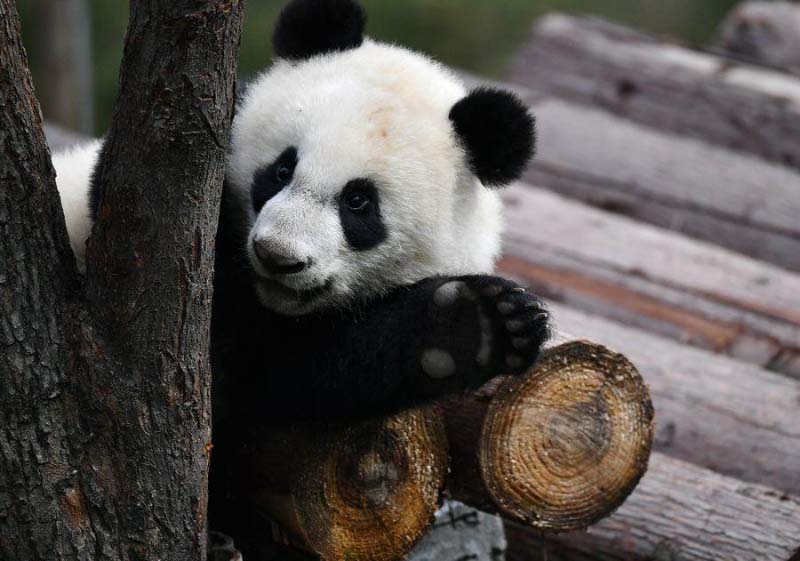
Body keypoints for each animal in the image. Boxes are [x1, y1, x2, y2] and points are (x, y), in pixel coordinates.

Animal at [53, 0, 548, 420]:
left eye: (358, 203)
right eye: (281, 169)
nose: (277, 257)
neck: (263, 301)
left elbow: (308, 373)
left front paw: (478, 326)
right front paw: (473, 321)